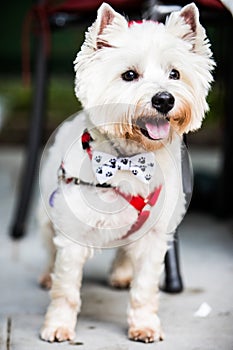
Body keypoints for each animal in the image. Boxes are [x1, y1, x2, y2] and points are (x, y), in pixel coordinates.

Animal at [39, 1, 214, 344]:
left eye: (175, 73)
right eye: (129, 75)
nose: (164, 99)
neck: (129, 159)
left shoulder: (155, 237)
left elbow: (145, 288)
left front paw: (145, 325)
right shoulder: (74, 233)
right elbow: (67, 287)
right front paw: (58, 325)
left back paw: (121, 273)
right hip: (47, 211)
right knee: (49, 246)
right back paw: (46, 276)